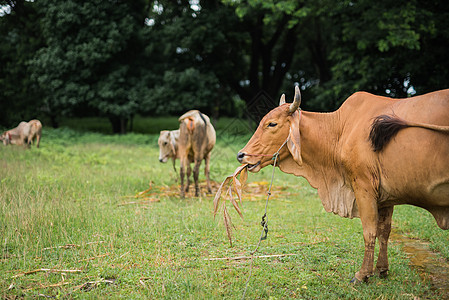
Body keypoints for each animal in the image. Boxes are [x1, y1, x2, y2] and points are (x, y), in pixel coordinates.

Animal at [236, 86, 446, 284]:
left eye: (272, 123)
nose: (241, 155)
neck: (340, 130)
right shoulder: (387, 197)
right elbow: (384, 232)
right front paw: (382, 269)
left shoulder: (364, 187)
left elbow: (370, 231)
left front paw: (362, 275)